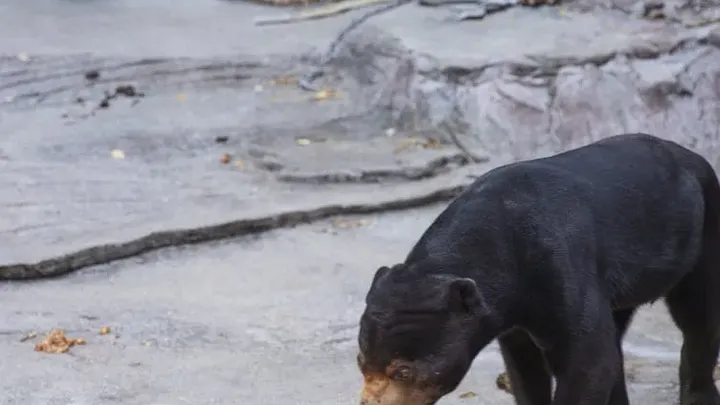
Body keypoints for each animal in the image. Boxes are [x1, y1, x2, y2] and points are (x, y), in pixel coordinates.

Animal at [356, 133, 720, 405]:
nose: (369, 403)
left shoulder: (559, 265)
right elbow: (526, 367)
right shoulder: (512, 315)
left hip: (701, 232)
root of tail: (691, 156)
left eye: (403, 371)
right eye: (362, 363)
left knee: (698, 316)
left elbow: (589, 359)